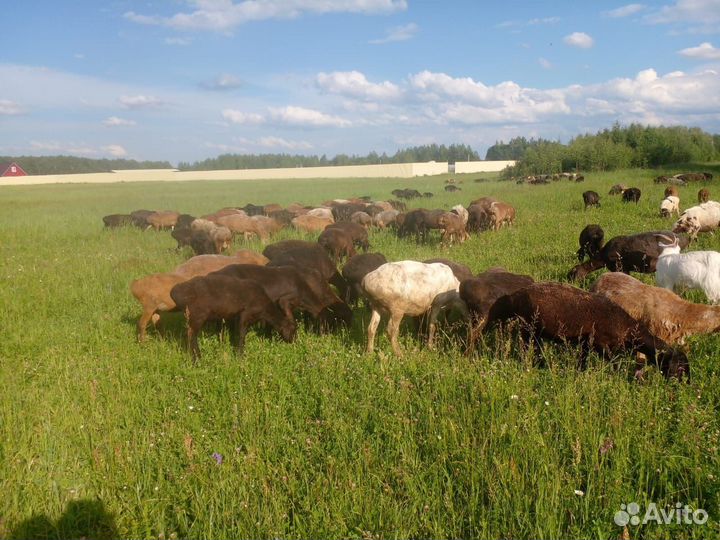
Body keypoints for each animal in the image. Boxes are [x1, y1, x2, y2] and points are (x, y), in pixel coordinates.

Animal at [484, 281, 689, 379]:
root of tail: (515, 295)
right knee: (528, 348)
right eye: (680, 367)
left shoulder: (586, 343)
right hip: (528, 328)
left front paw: (579, 373)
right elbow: (614, 364)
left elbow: (582, 361)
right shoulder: (602, 345)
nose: (683, 385)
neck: (628, 329)